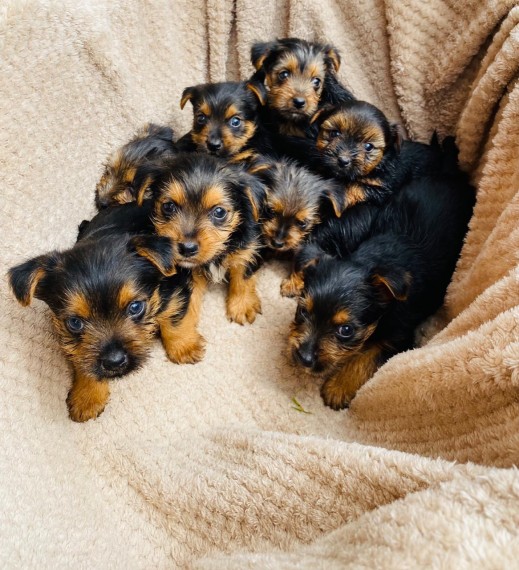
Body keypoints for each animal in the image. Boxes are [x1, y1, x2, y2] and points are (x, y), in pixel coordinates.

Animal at [9, 202, 202, 420]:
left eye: (135, 307)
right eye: (75, 322)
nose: (115, 362)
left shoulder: (174, 291)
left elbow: (175, 319)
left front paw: (184, 348)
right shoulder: (70, 338)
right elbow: (83, 359)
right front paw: (87, 397)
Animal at [137, 152, 268, 324]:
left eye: (219, 212)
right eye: (168, 206)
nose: (187, 248)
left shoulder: (250, 245)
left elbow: (244, 272)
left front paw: (242, 304)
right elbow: (188, 301)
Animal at [288, 143, 476, 408]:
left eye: (346, 331)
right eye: (303, 311)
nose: (303, 358)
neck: (371, 259)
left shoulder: (400, 333)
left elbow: (369, 354)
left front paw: (338, 387)